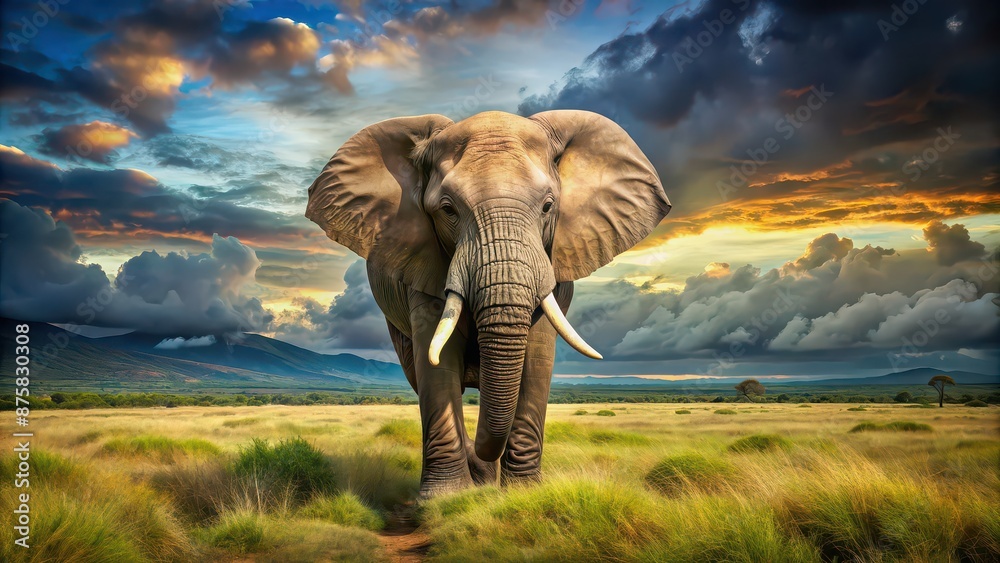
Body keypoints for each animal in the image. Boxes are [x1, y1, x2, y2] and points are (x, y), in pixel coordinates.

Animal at [306, 110, 670, 498]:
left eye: (548, 206)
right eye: (448, 210)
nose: (479, 457)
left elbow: (538, 355)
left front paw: (523, 494)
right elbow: (436, 361)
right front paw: (444, 497)